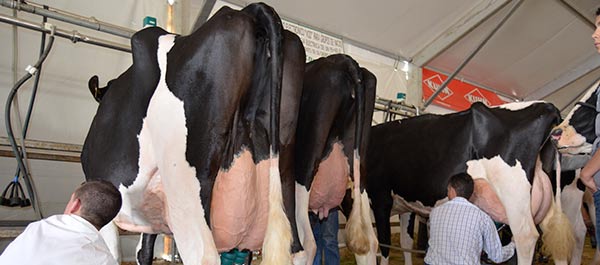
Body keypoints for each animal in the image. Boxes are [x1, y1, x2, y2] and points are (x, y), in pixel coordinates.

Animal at [81, 3, 304, 262]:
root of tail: (249, 10)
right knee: (298, 248)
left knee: (203, 253)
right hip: (285, 175)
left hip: (185, 184)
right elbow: (143, 251)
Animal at [366, 101, 576, 264]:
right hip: (546, 203)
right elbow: (405, 242)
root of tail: (548, 106)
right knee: (556, 239)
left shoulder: (380, 199)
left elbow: (383, 246)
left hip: (514, 199)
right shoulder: (407, 204)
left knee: (526, 238)